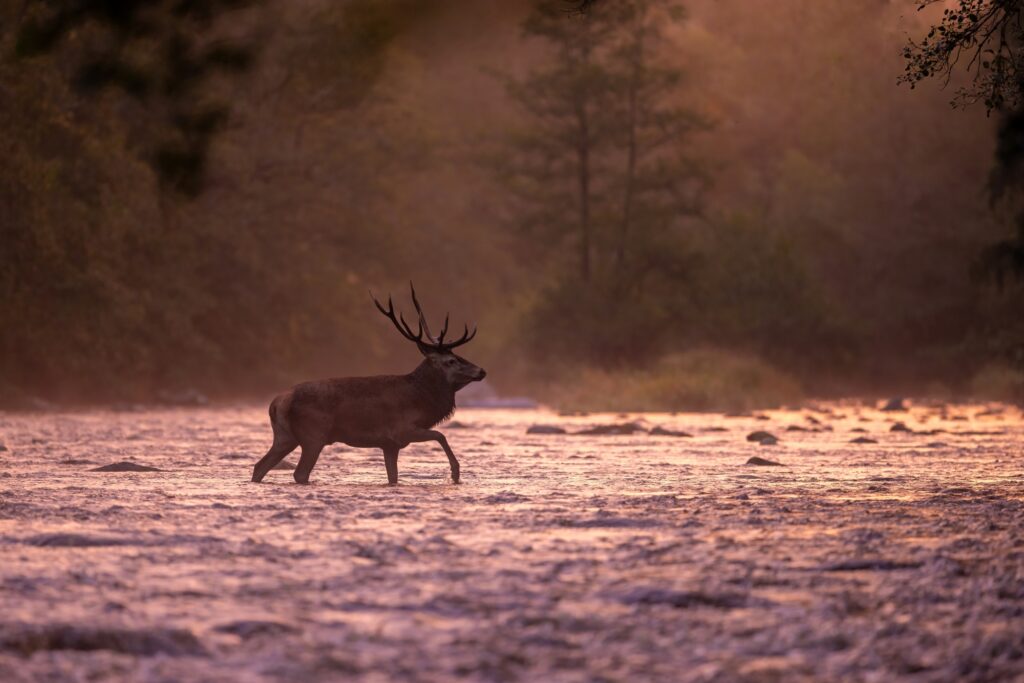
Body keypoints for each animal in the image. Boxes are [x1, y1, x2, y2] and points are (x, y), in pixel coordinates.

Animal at [251, 283, 486, 486]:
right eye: (451, 360)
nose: (481, 371)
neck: (421, 401)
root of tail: (278, 402)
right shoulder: (402, 430)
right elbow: (441, 435)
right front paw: (455, 474)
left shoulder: (390, 444)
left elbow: (393, 476)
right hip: (313, 435)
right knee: (299, 473)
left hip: (284, 436)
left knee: (259, 466)